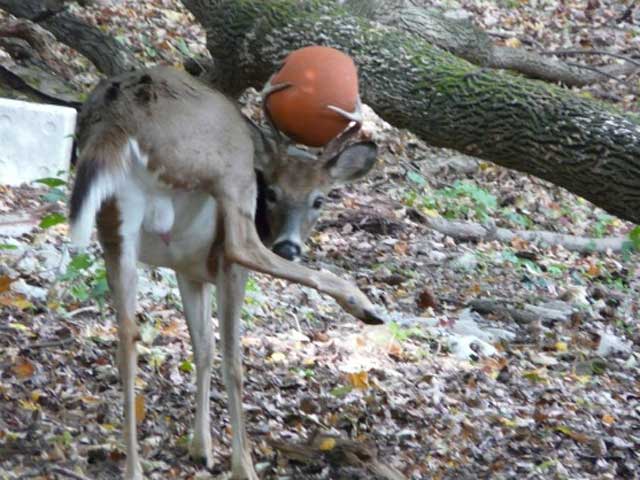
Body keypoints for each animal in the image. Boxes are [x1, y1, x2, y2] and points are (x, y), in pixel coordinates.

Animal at [67, 64, 382, 480]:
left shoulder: (188, 269)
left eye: (319, 199)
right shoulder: (224, 269)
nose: (289, 246)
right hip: (228, 168)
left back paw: (134, 470)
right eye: (273, 193)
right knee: (242, 246)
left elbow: (203, 347)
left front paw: (201, 448)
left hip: (116, 222)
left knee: (126, 337)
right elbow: (230, 356)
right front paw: (235, 461)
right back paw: (362, 304)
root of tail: (116, 119)